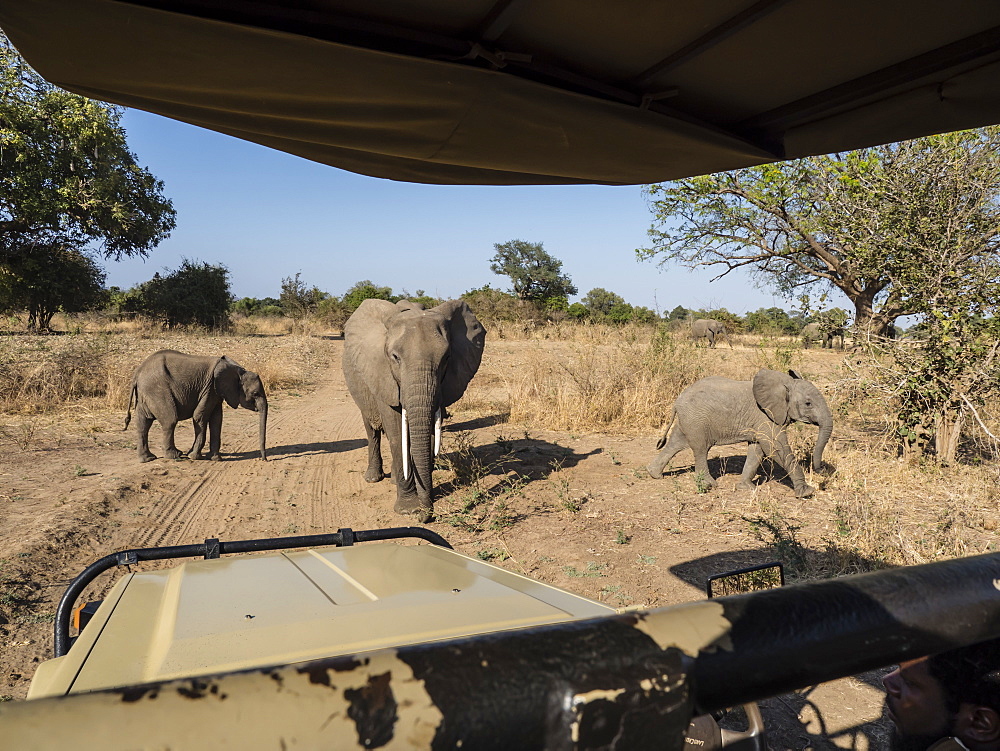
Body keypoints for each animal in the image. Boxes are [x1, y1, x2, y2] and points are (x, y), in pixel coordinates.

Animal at [123, 352, 268, 464]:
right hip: (157, 390)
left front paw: (215, 458)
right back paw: (175, 455)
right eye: (255, 394)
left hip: (146, 392)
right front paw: (194, 456)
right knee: (170, 420)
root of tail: (137, 373)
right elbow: (199, 416)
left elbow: (217, 420)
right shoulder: (210, 388)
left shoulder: (216, 392)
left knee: (143, 423)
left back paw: (148, 459)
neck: (238, 371)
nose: (264, 460)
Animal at [342, 298, 486, 524]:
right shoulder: (382, 375)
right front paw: (408, 510)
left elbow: (429, 431)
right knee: (371, 428)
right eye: (395, 357)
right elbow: (396, 433)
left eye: (447, 358)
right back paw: (373, 478)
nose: (423, 517)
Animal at [644, 370, 832, 500]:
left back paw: (654, 474)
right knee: (700, 448)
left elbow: (757, 450)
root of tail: (677, 401)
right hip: (697, 419)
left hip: (689, 419)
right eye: (808, 403)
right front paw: (806, 493)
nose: (822, 470)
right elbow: (775, 448)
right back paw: (709, 485)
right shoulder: (765, 416)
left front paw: (746, 488)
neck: (784, 383)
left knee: (676, 442)